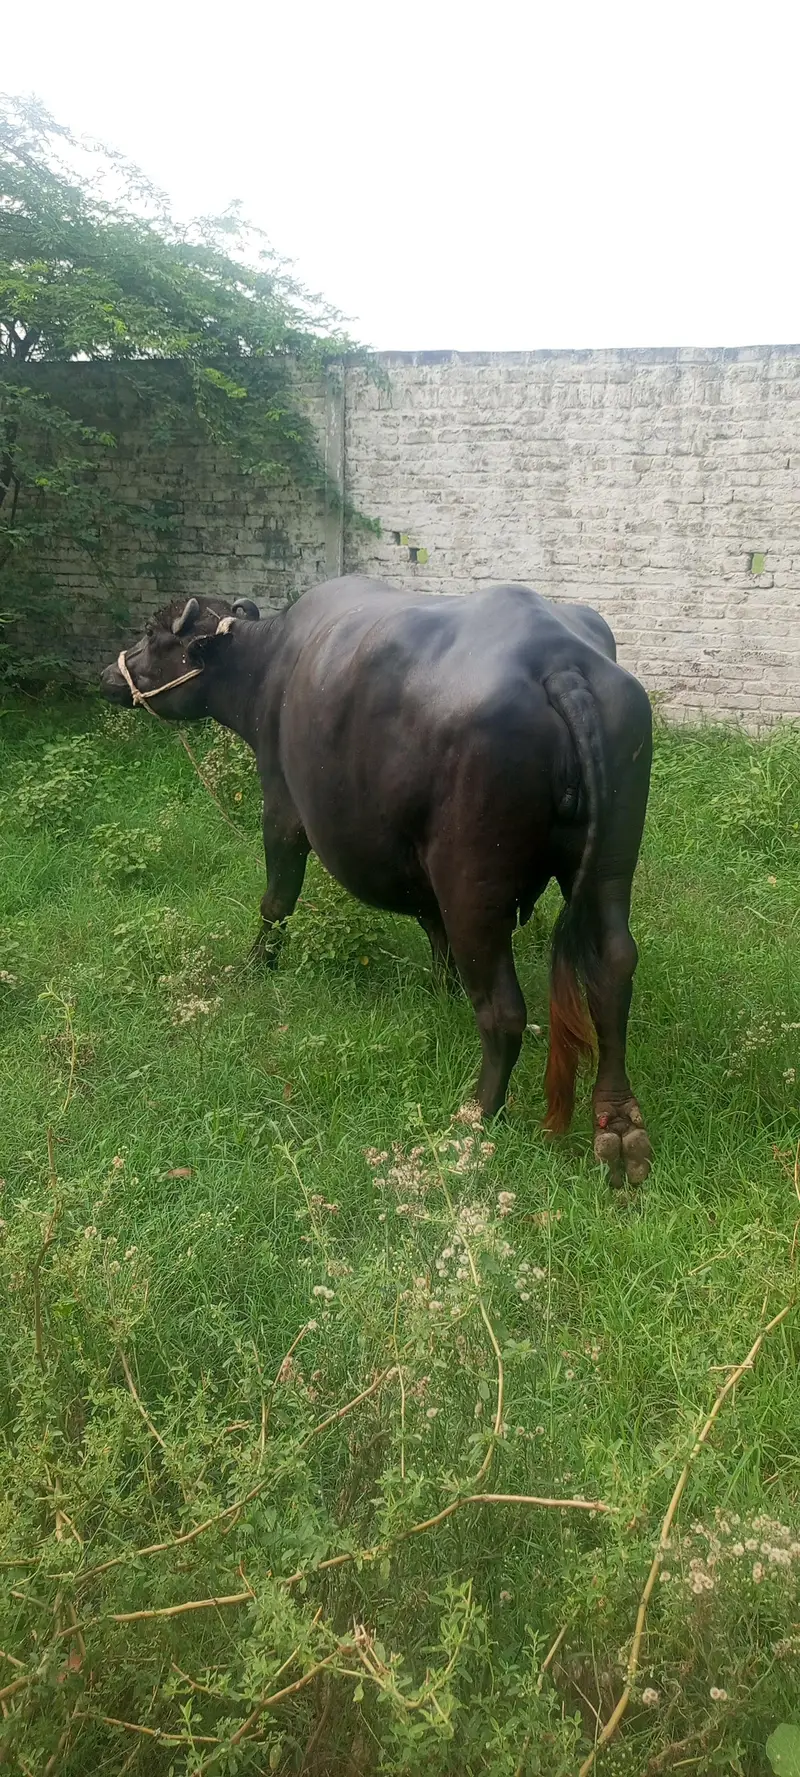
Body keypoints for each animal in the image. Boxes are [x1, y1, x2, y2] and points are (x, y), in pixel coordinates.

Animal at [101, 577, 653, 1185]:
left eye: (153, 636)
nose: (108, 675)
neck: (270, 665)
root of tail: (560, 665)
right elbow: (432, 928)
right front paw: (443, 990)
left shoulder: (282, 809)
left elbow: (277, 899)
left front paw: (256, 963)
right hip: (610, 866)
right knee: (612, 966)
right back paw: (619, 1123)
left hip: (474, 883)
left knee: (504, 1008)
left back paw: (478, 1115)